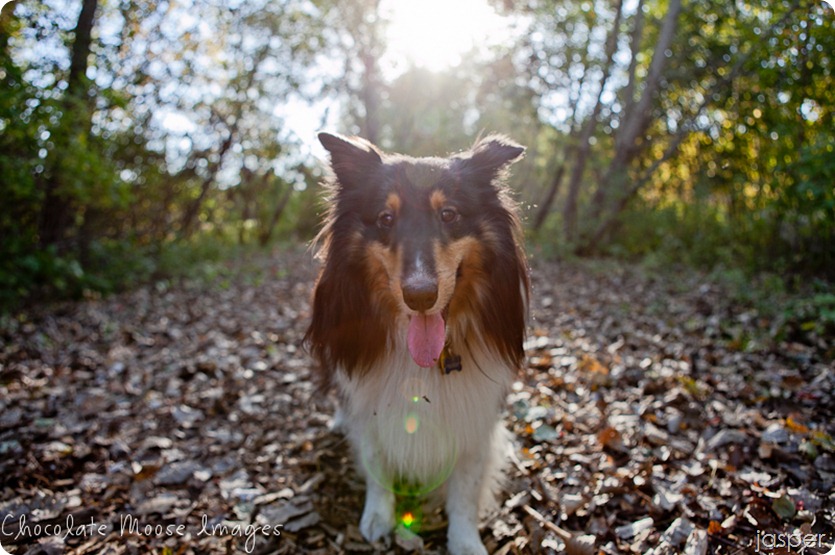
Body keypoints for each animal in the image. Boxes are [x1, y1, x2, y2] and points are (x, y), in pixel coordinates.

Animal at [306, 132, 528, 552]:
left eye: (449, 214)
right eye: (385, 218)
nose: (421, 296)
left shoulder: (474, 416)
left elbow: (465, 488)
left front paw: (465, 541)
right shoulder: (372, 404)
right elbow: (376, 460)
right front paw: (378, 517)